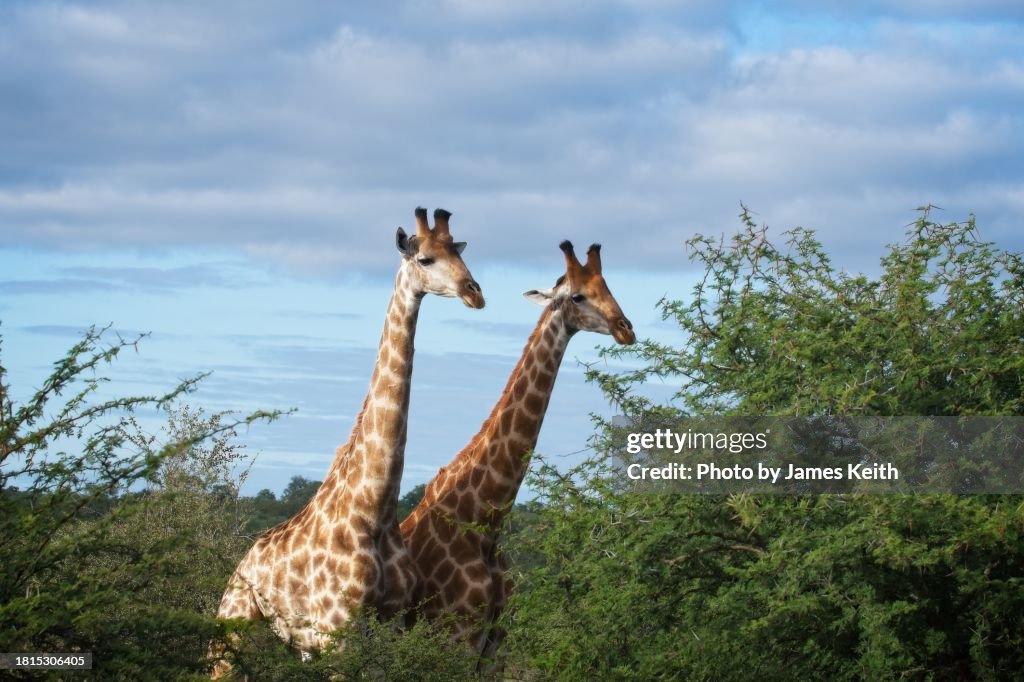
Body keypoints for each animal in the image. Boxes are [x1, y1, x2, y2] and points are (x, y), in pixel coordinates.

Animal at [212, 208, 484, 676]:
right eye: (426, 259)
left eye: (459, 252)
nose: (474, 293)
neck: (374, 508)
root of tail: (241, 564)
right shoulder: (339, 633)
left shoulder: (389, 627)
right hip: (232, 632)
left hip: (293, 645)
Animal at [399, 239, 635, 657]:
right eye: (578, 296)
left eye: (608, 288)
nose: (626, 329)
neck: (485, 524)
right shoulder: (456, 635)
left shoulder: (496, 644)